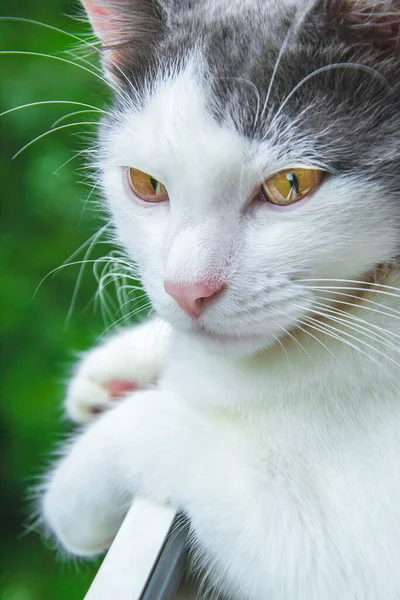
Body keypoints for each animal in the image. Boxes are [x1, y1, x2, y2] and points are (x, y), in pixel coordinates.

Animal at [41, 1, 400, 600]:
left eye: (291, 184)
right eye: (146, 184)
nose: (188, 290)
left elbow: (168, 425)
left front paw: (73, 490)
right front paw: (118, 367)